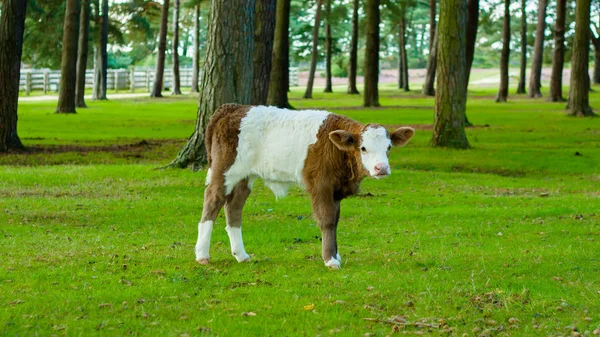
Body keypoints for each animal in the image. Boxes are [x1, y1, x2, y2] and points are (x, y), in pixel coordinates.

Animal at [195, 102, 414, 268]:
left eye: (388, 147)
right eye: (363, 148)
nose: (381, 168)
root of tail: (232, 108)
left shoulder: (335, 190)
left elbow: (335, 220)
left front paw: (336, 254)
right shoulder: (322, 185)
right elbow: (327, 220)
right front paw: (330, 260)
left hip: (244, 176)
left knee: (234, 207)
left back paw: (241, 255)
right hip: (224, 169)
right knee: (212, 201)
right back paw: (202, 255)